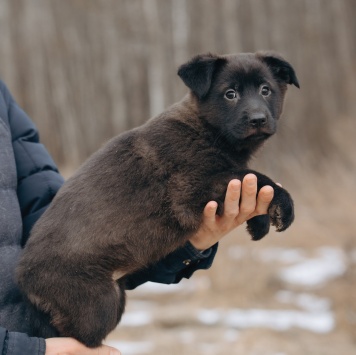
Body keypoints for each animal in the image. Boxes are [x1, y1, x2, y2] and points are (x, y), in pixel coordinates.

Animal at [17, 52, 298, 348]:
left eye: (266, 90)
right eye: (230, 94)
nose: (258, 119)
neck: (207, 130)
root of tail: (23, 277)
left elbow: (250, 181)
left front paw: (259, 223)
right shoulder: (190, 189)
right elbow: (253, 176)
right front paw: (284, 204)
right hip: (97, 303)